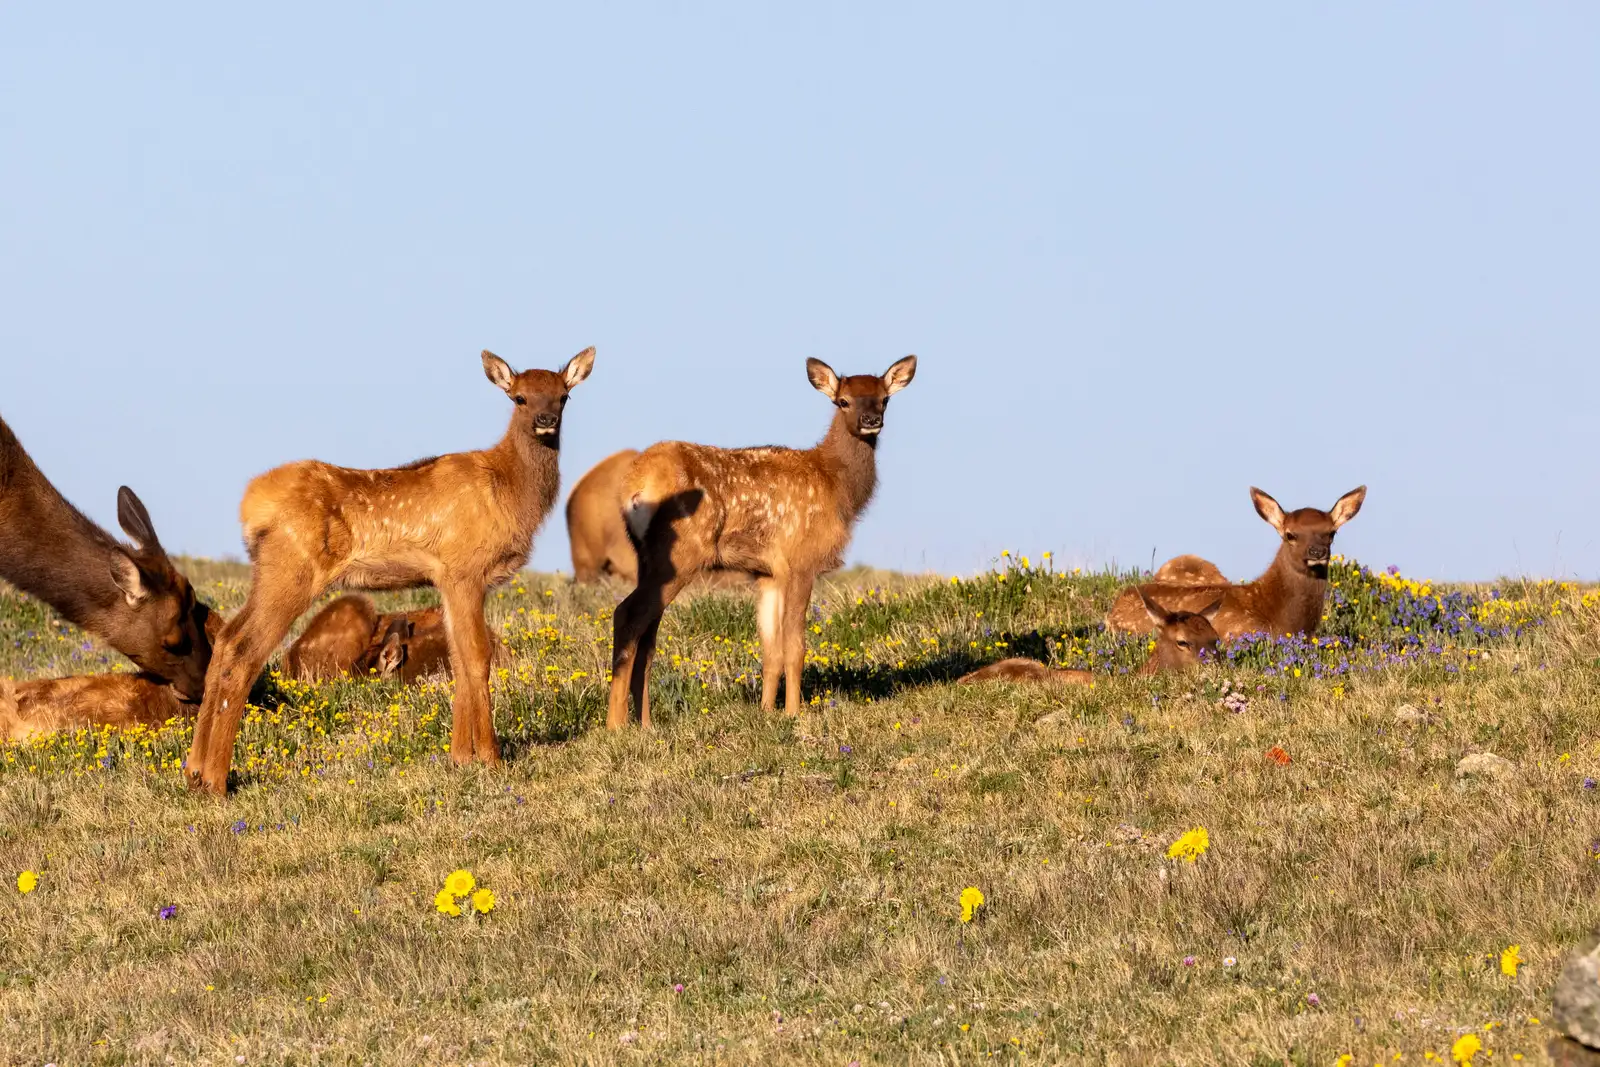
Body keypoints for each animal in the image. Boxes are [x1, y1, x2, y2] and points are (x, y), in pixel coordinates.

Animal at [186, 346, 595, 795]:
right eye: (519, 397)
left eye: (563, 396)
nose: (546, 420)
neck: (509, 492)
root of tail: (250, 506)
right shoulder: (465, 568)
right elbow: (476, 658)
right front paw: (491, 758)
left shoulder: (446, 579)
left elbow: (457, 659)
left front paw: (459, 758)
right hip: (292, 570)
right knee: (244, 651)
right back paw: (216, 781)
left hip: (268, 572)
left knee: (225, 639)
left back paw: (193, 772)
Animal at [608, 355, 917, 729]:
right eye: (843, 401)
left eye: (884, 399)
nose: (871, 421)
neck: (835, 486)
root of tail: (633, 485)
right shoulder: (801, 559)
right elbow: (795, 645)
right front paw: (794, 713)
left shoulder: (767, 572)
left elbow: (770, 649)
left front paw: (767, 712)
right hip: (683, 551)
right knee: (628, 614)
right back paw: (615, 725)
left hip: (646, 557)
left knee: (648, 635)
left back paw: (645, 724)